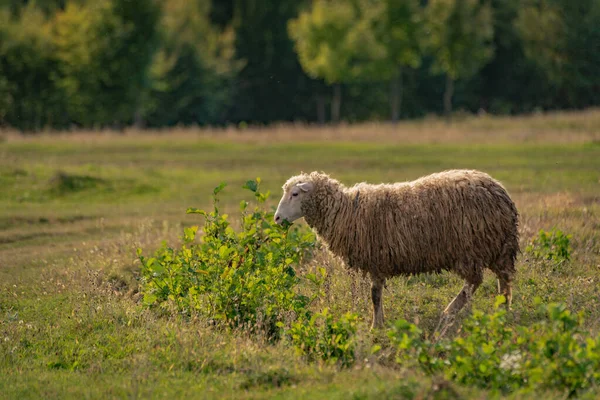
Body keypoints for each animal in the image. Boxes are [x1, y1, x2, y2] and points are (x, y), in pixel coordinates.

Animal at [274, 170, 516, 330]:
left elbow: (374, 295)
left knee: (473, 283)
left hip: (471, 248)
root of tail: (499, 190)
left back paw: (449, 313)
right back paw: (502, 312)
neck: (347, 211)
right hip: (498, 248)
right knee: (503, 282)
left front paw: (375, 326)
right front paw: (380, 322)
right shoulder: (378, 262)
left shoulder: (376, 259)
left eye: (295, 194)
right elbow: (377, 295)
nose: (276, 218)